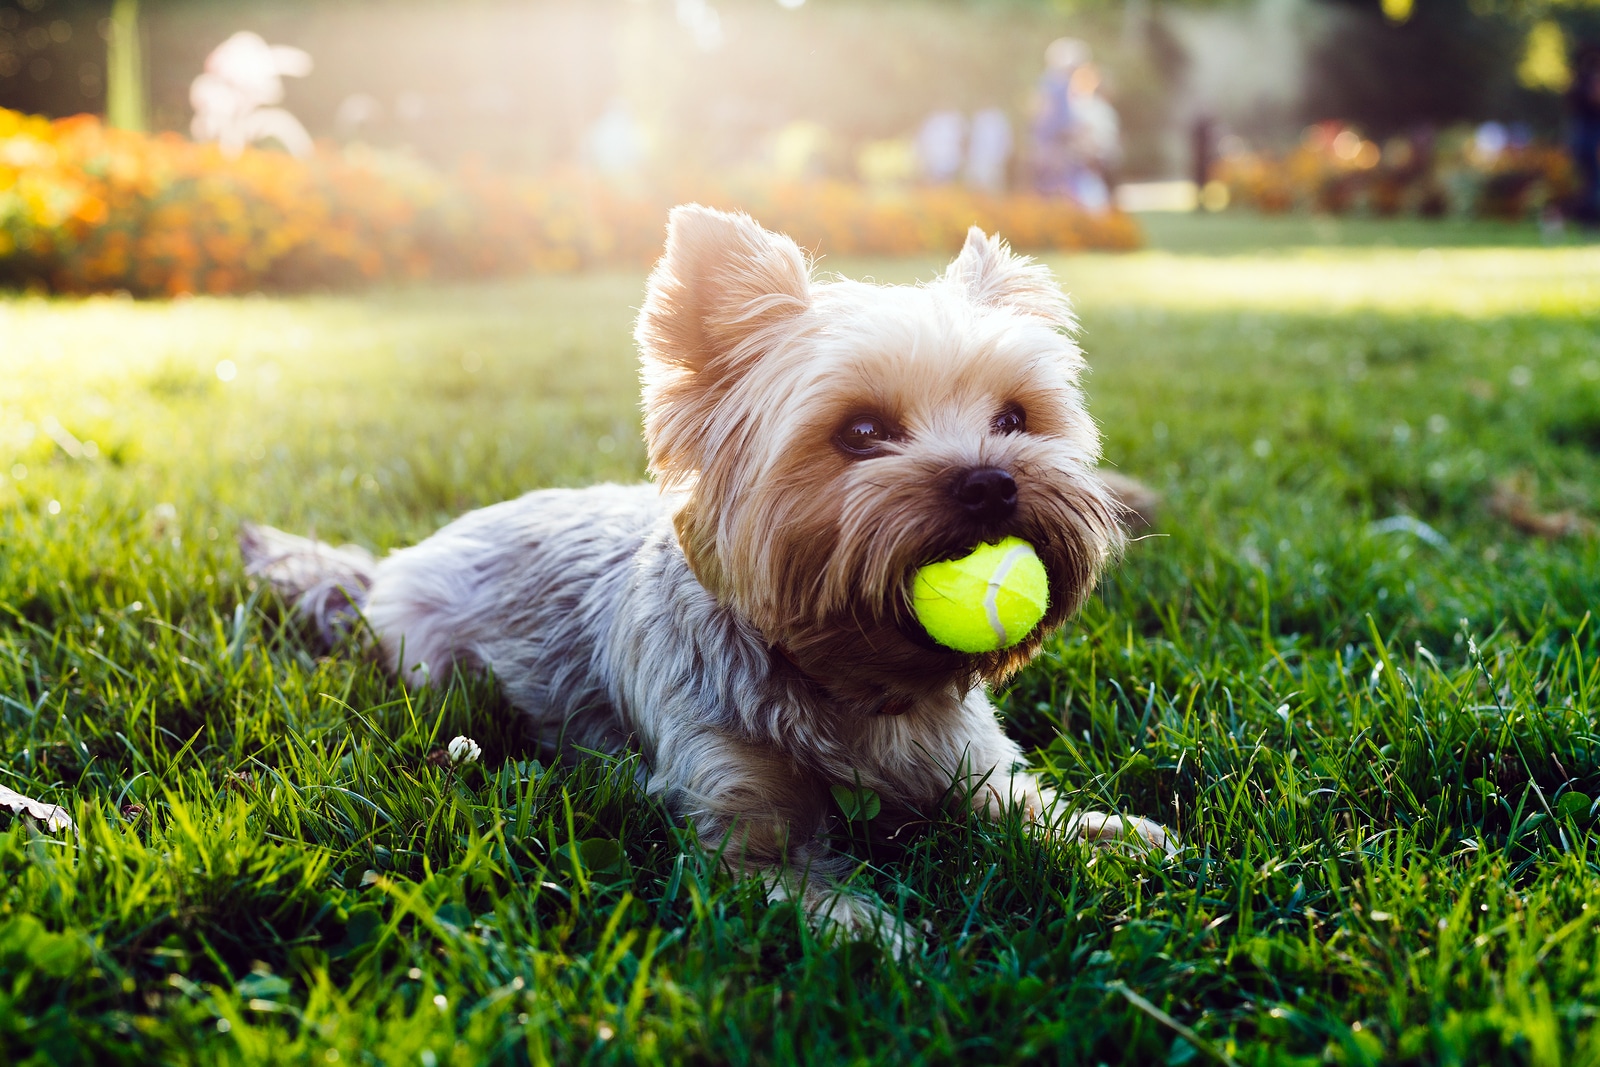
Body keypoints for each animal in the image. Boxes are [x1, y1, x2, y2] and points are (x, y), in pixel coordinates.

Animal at [246, 204, 1177, 947]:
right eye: (861, 431)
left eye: (1015, 418)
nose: (991, 481)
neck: (857, 680)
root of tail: (390, 564)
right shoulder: (735, 827)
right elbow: (806, 892)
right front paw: (892, 941)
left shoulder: (973, 767)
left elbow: (1030, 809)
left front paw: (1121, 835)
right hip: (430, 660)